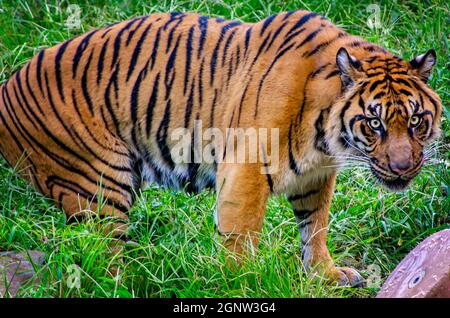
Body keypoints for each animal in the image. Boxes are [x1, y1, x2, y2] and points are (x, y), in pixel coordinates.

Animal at [0, 11, 442, 286]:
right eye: (375, 123)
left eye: (416, 121)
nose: (403, 168)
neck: (326, 136)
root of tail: (7, 87)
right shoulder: (246, 167)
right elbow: (241, 235)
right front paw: (243, 283)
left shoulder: (316, 175)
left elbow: (315, 227)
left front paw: (324, 274)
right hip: (99, 185)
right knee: (100, 259)